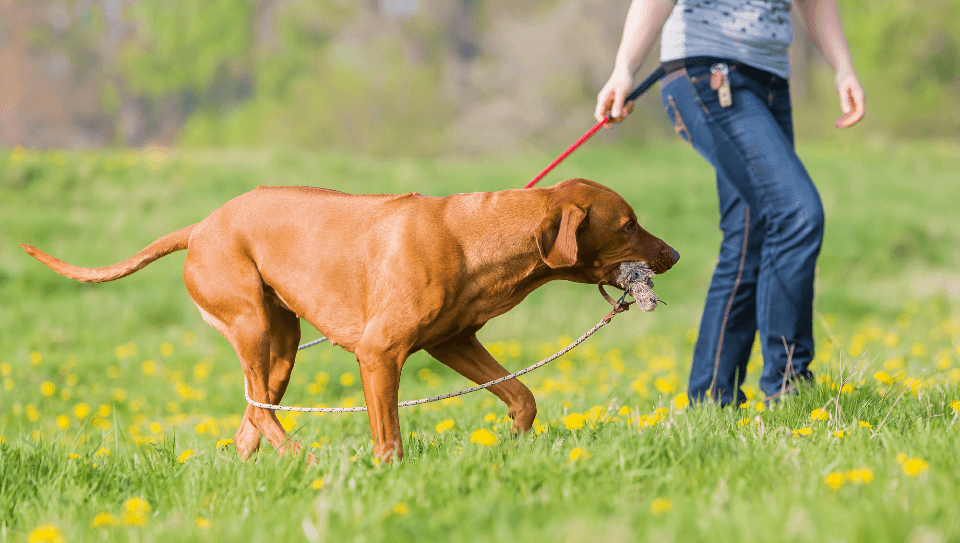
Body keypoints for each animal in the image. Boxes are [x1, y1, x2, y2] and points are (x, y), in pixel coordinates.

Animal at [24, 181, 684, 462]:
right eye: (628, 225)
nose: (675, 255)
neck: (480, 235)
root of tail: (201, 225)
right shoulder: (379, 353)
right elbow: (388, 436)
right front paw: (389, 476)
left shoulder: (453, 342)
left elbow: (522, 397)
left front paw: (514, 445)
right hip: (252, 324)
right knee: (260, 409)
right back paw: (302, 458)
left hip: (284, 345)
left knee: (252, 416)